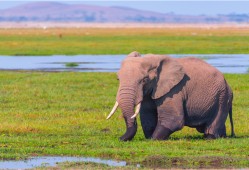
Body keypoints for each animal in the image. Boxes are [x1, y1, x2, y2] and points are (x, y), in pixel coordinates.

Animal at [106, 51, 234, 141]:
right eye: (118, 79)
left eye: (144, 80)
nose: (119, 138)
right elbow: (147, 116)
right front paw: (150, 136)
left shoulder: (174, 90)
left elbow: (173, 120)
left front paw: (153, 139)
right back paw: (223, 136)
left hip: (222, 97)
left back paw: (210, 137)